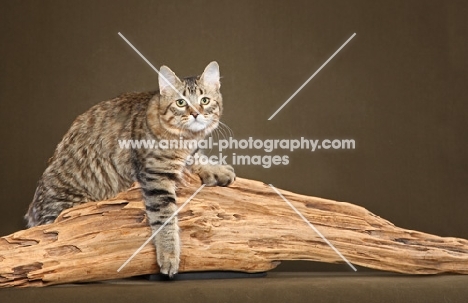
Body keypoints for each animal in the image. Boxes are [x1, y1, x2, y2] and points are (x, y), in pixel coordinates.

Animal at [24, 61, 236, 278]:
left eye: (205, 100)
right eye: (181, 103)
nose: (195, 113)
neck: (185, 138)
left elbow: (196, 158)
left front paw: (216, 169)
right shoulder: (155, 176)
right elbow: (165, 220)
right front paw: (169, 255)